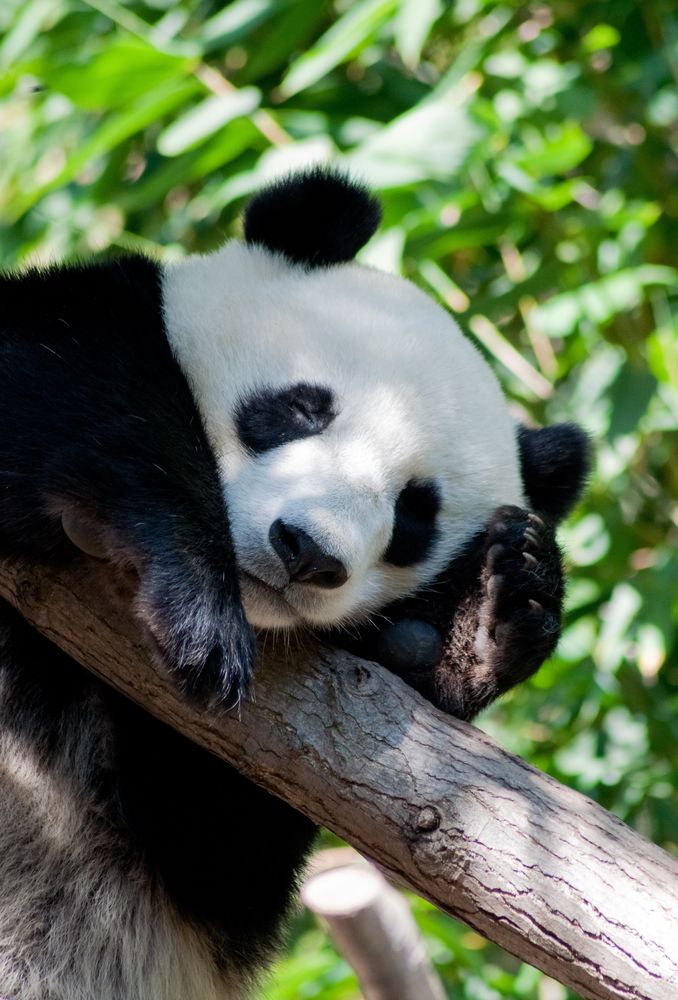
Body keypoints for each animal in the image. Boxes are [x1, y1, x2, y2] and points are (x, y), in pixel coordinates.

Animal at [0, 169, 588, 999]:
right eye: (300, 409)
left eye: (416, 515)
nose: (307, 551)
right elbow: (65, 384)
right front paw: (196, 599)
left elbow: (216, 846)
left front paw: (487, 617)